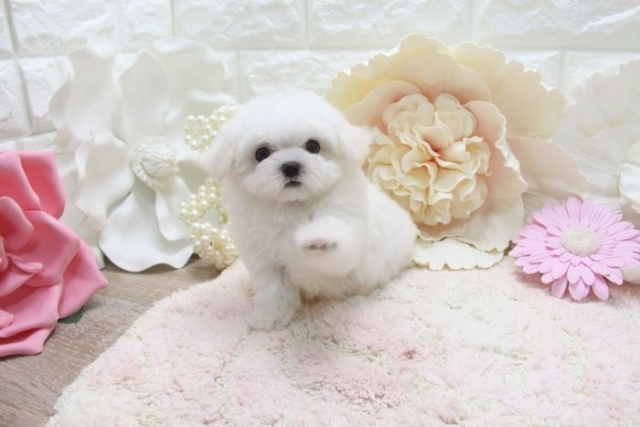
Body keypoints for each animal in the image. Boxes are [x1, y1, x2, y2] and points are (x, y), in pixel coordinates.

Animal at [205, 89, 418, 329]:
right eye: (261, 153)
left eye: (313, 146)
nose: (290, 166)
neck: (293, 207)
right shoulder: (265, 259)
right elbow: (273, 290)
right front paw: (270, 318)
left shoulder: (348, 236)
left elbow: (335, 247)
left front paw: (318, 239)